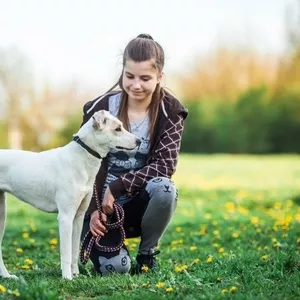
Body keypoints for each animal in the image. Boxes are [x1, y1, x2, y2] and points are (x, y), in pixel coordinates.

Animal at [0, 111, 140, 280]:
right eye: (118, 128)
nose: (139, 141)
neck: (82, 158)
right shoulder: (66, 217)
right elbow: (66, 252)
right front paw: (67, 277)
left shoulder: (78, 217)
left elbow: (74, 252)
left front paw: (76, 275)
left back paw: (6, 276)